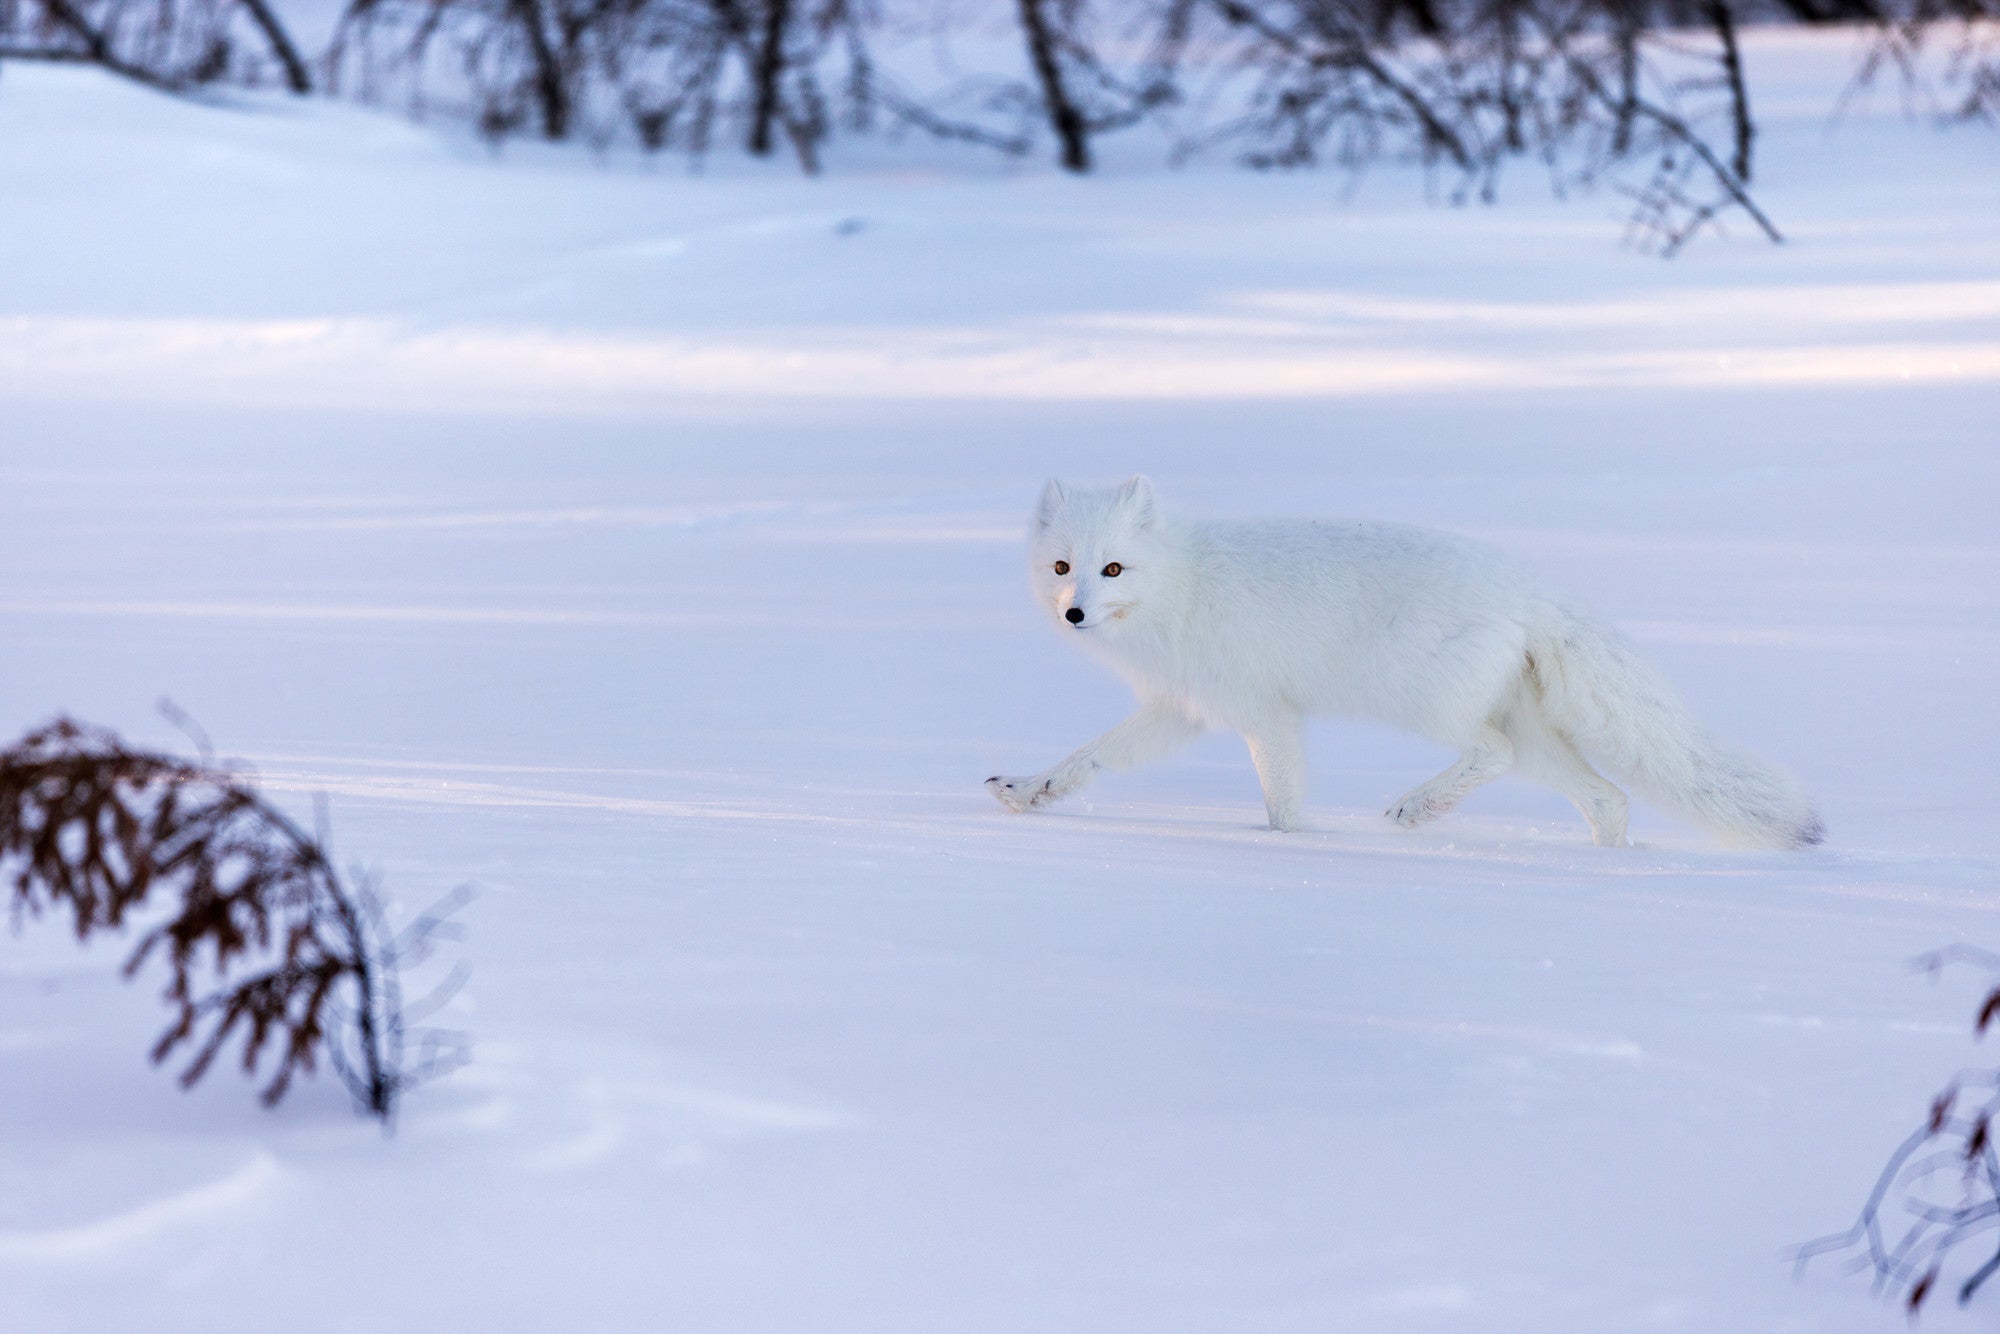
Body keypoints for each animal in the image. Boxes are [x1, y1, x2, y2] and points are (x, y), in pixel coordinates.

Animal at [988, 474, 1832, 852]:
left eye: (1114, 569)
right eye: (1064, 566)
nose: (1074, 613)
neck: (1181, 587)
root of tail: (1531, 585)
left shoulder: (1265, 714)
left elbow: (1282, 803)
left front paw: (1289, 847)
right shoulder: (1184, 711)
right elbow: (1088, 758)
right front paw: (1028, 791)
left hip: (1421, 697)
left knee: (1491, 753)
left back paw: (1415, 809)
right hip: (1535, 737)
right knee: (1609, 798)